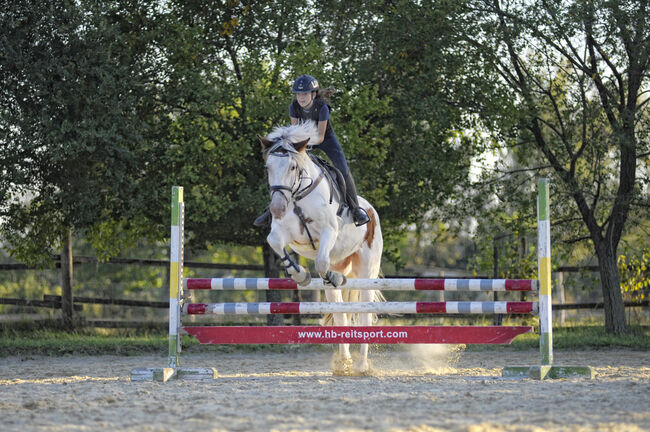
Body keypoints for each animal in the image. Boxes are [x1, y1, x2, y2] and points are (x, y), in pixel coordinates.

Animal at [256, 122, 382, 374]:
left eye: (293, 166)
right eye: (268, 167)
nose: (277, 207)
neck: (298, 196)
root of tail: (372, 210)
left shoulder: (328, 231)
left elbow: (322, 262)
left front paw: (328, 276)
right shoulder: (284, 233)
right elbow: (274, 242)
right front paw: (300, 275)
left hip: (367, 271)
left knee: (363, 311)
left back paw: (362, 365)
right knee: (341, 313)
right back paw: (344, 362)